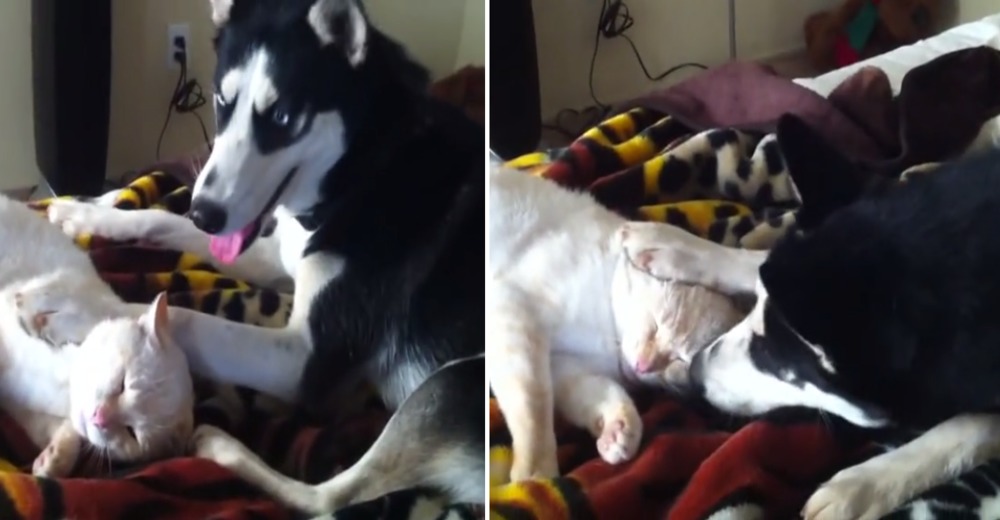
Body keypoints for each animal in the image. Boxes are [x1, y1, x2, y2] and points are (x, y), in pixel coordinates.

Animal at [0, 194, 193, 476]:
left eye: (132, 433)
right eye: (123, 383)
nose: (100, 417)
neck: (59, 385)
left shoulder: (20, 403)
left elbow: (60, 435)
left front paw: (54, 460)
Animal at [50, 0, 484, 512]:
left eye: (281, 116)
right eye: (221, 101)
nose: (204, 213)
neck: (362, 171)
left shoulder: (302, 360)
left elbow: (189, 319)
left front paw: (81, 310)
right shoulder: (275, 255)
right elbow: (160, 219)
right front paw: (84, 213)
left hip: (454, 381)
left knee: (327, 497)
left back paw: (220, 446)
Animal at [488, 167, 748, 480]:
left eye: (680, 360)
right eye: (656, 325)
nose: (644, 366)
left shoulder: (565, 366)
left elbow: (606, 394)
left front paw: (620, 432)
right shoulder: (513, 309)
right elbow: (533, 402)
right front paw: (535, 475)